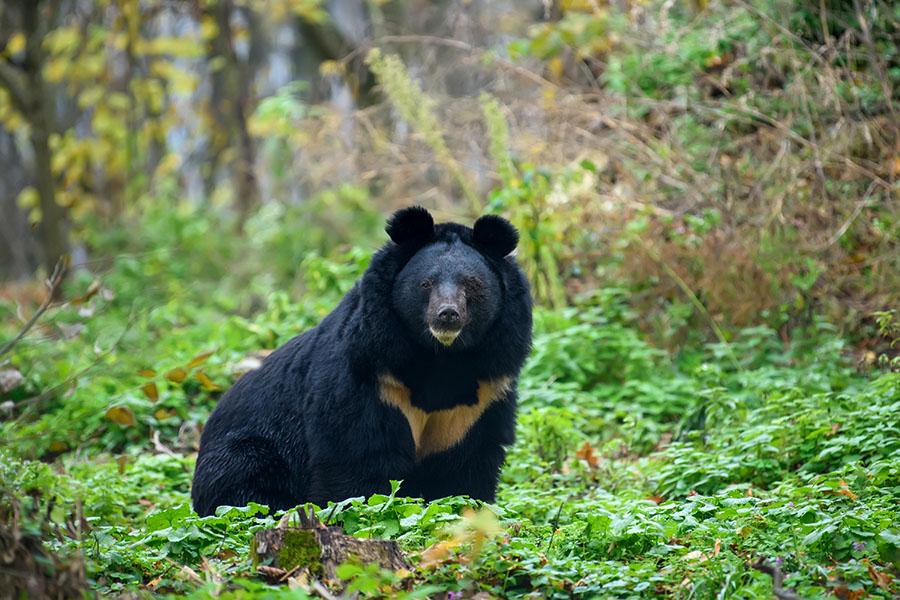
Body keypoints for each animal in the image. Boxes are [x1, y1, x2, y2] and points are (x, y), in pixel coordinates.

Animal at [191, 206, 532, 516]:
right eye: (426, 284)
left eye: (472, 284)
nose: (447, 314)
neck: (442, 357)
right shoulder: (371, 377)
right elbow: (357, 456)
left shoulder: (480, 398)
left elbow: (465, 465)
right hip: (248, 450)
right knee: (245, 486)